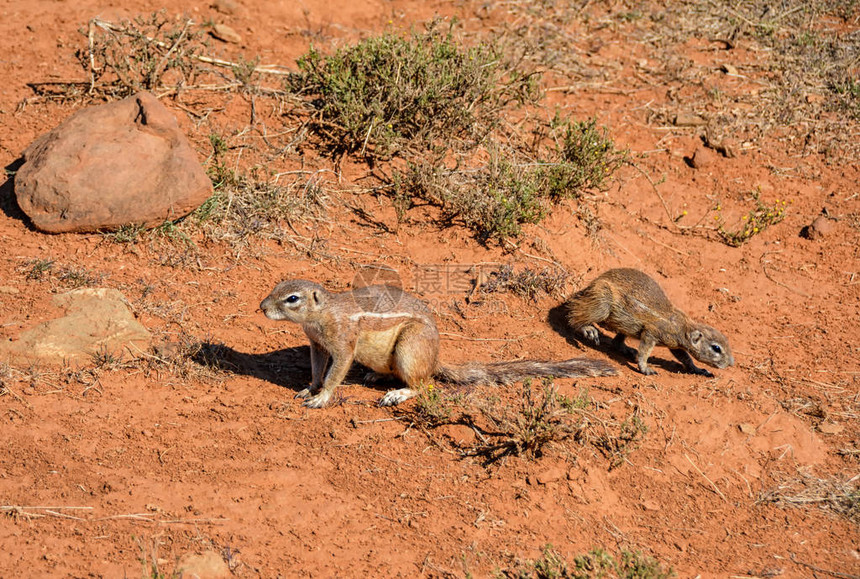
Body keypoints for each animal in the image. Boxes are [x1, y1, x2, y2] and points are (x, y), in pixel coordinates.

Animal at [258, 280, 616, 408]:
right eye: (276, 286)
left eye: (292, 299)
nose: (261, 306)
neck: (322, 314)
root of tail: (435, 359)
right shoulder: (317, 344)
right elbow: (317, 369)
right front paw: (309, 388)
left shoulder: (343, 343)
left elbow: (336, 371)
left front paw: (322, 398)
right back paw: (376, 376)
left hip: (409, 348)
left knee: (424, 384)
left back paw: (398, 393)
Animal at [564, 270, 732, 378]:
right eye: (716, 348)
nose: (731, 363)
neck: (683, 326)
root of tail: (592, 284)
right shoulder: (652, 333)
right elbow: (645, 351)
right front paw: (645, 368)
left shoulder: (674, 344)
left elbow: (685, 358)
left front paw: (698, 369)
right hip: (602, 302)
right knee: (574, 316)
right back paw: (587, 328)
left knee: (616, 341)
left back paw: (626, 349)